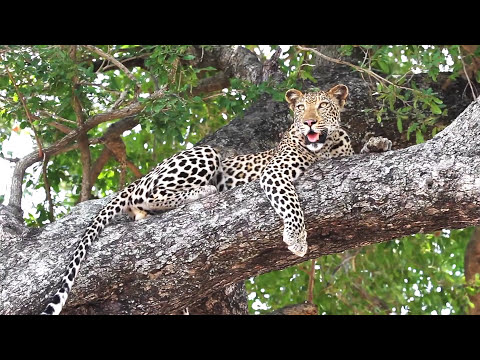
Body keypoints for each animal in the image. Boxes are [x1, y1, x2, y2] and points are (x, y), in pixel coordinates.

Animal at [41, 84, 390, 316]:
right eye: (301, 108)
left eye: (323, 106)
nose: (309, 123)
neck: (326, 146)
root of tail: (140, 177)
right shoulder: (274, 172)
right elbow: (290, 203)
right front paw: (296, 239)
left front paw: (378, 143)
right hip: (202, 155)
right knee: (150, 197)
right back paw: (204, 191)